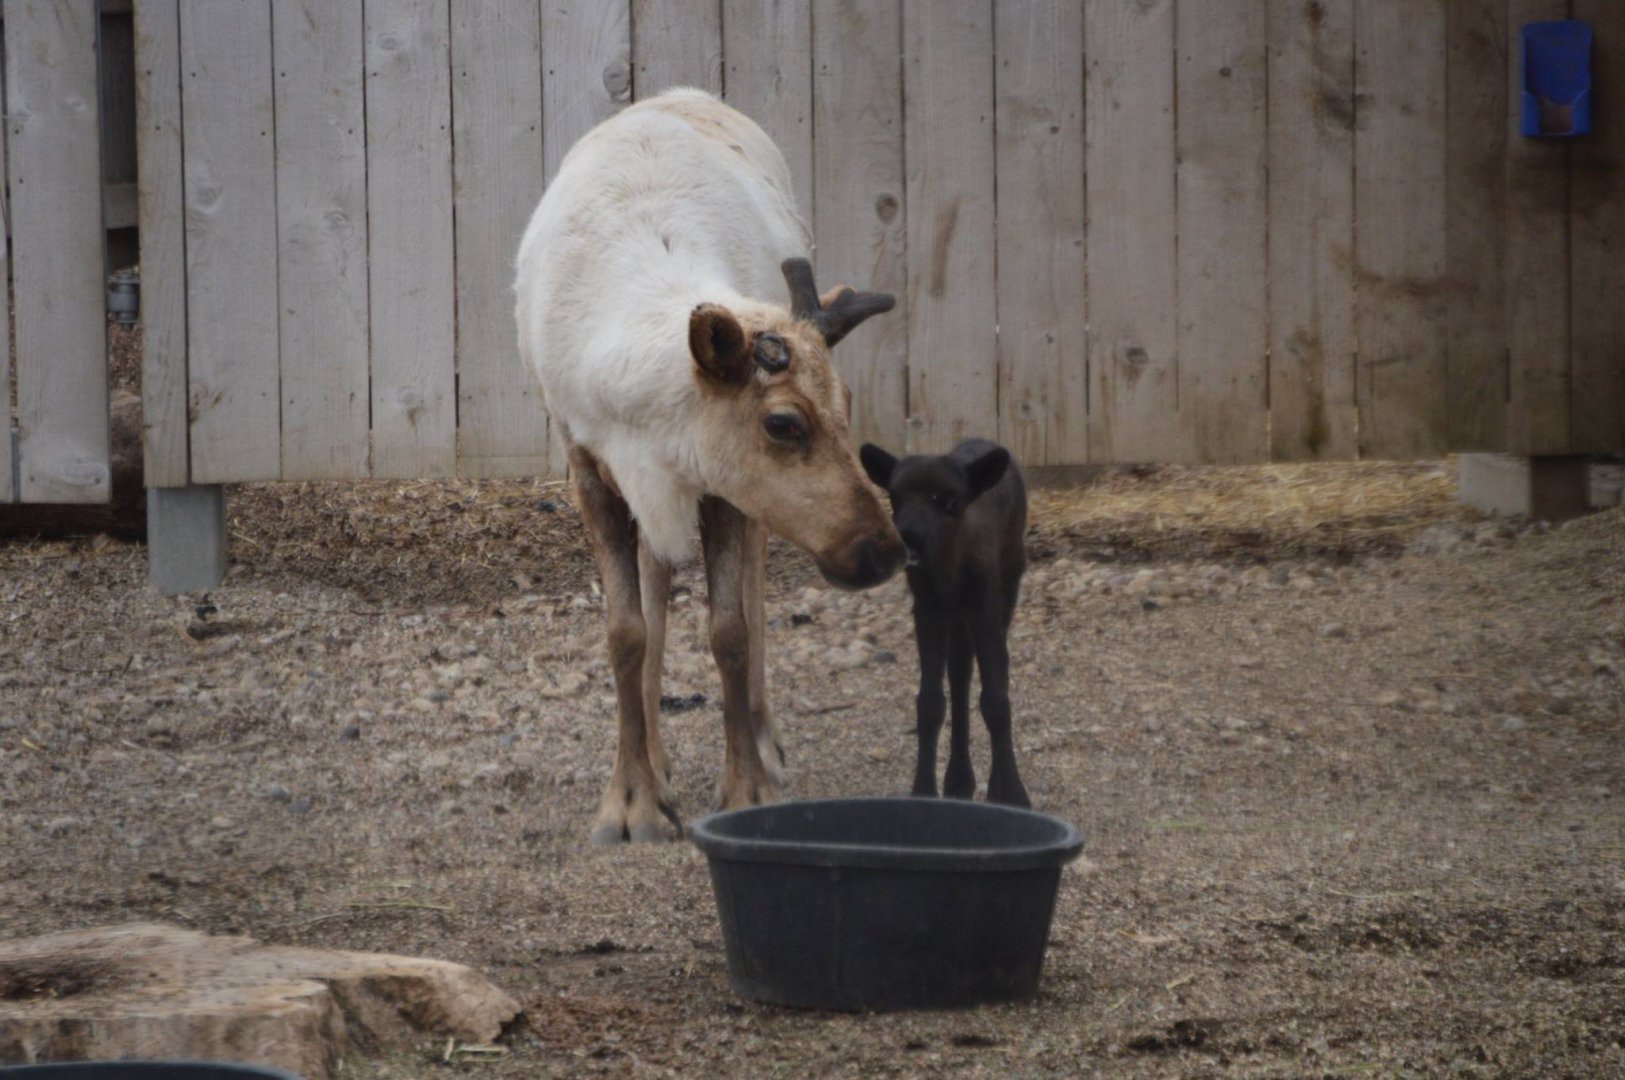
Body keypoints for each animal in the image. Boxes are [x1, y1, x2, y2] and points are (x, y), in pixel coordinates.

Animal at [514, 89, 905, 845]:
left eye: (846, 404)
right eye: (783, 422)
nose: (884, 549)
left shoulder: (723, 486)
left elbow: (729, 630)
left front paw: (747, 786)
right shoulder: (591, 469)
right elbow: (626, 632)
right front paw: (631, 799)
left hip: (746, 505)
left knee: (751, 596)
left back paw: (764, 736)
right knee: (657, 587)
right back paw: (659, 758)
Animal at [859, 438, 1032, 808]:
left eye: (951, 502)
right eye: (894, 499)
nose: (909, 538)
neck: (950, 572)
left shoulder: (984, 603)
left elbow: (996, 698)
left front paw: (1011, 792)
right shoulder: (928, 608)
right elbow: (930, 701)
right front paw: (924, 789)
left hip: (1009, 582)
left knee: (994, 666)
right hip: (958, 620)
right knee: (960, 674)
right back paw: (959, 779)